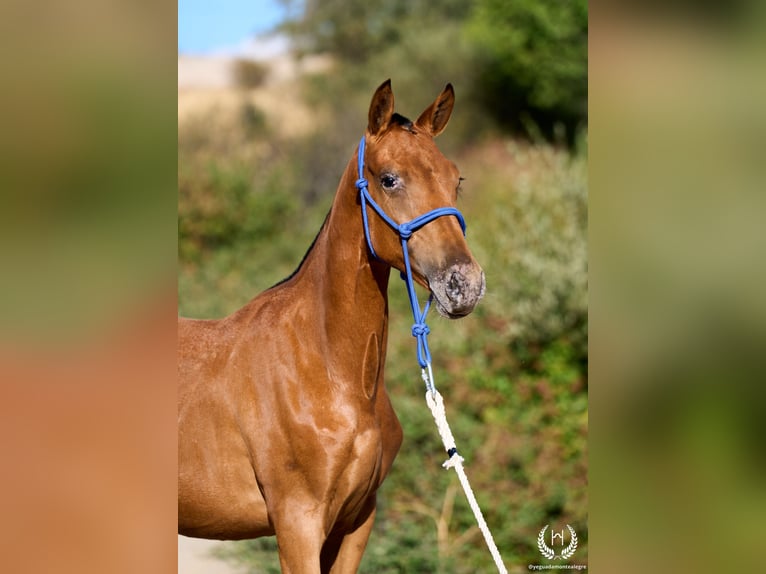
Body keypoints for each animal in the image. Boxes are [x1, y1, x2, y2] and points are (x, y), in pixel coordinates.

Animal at [178, 79, 485, 573]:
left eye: (455, 178)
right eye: (389, 179)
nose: (464, 285)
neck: (331, 372)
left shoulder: (356, 522)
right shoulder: (298, 524)